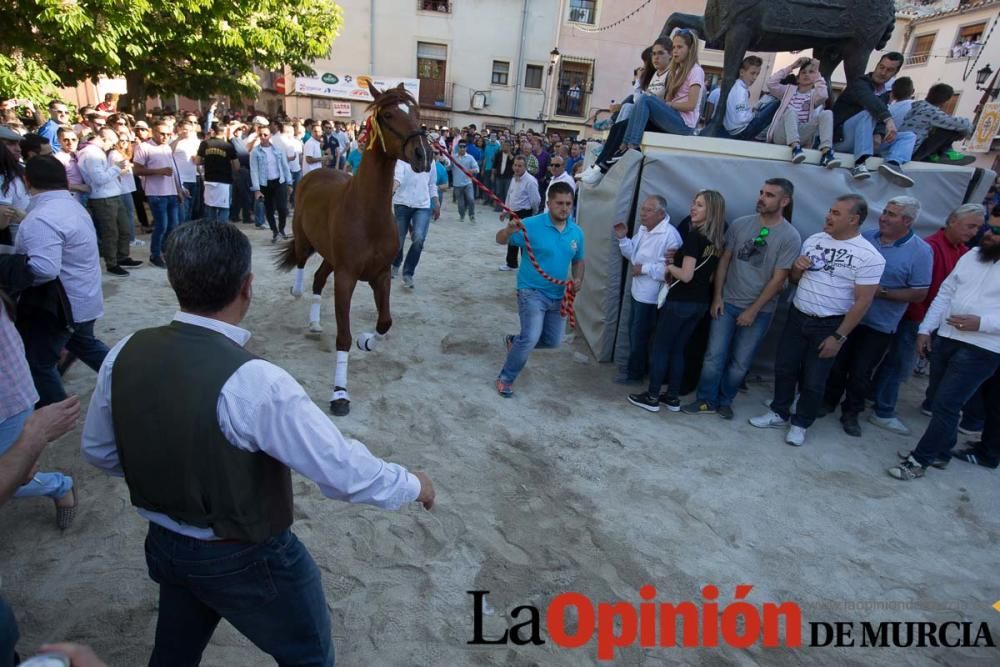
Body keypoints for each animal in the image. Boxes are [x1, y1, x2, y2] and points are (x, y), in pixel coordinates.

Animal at [276, 84, 432, 418]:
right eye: (388, 115)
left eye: (416, 113)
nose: (423, 155)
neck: (367, 214)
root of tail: (316, 172)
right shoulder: (346, 277)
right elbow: (343, 337)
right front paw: (339, 394)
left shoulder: (380, 275)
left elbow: (384, 322)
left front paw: (367, 342)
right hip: (307, 242)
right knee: (301, 262)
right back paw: (297, 291)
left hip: (331, 259)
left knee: (318, 279)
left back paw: (314, 323)